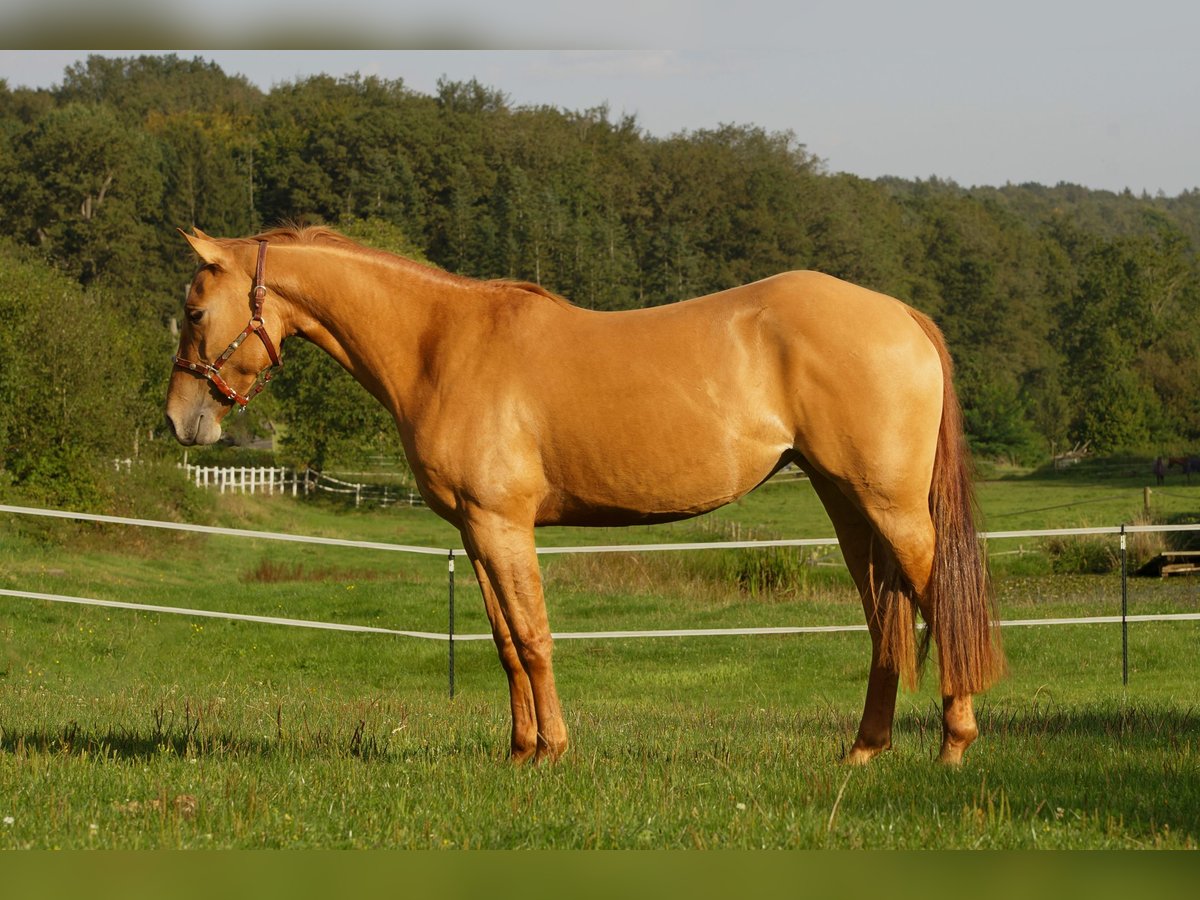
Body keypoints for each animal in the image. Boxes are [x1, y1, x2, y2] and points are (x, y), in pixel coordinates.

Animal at [166, 226, 1003, 768]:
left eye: (195, 310)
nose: (179, 420)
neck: (442, 344)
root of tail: (902, 314)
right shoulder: (476, 532)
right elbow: (506, 642)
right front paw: (519, 754)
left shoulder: (504, 525)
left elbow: (535, 637)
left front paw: (553, 752)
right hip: (847, 506)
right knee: (885, 619)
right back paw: (864, 751)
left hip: (892, 509)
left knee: (939, 600)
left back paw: (954, 746)